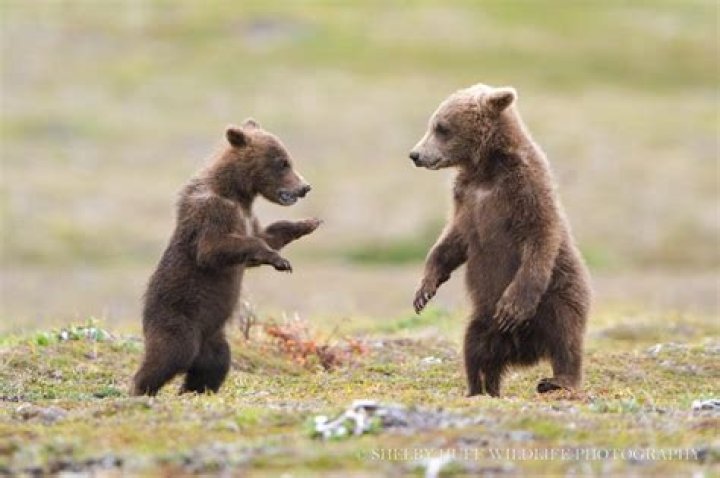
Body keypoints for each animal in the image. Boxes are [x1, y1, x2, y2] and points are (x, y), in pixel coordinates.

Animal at [131, 119, 321, 396]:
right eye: (282, 162)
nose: (305, 187)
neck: (237, 193)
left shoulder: (248, 218)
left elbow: (264, 238)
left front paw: (308, 224)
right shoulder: (213, 211)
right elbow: (213, 250)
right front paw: (281, 261)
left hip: (214, 338)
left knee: (215, 364)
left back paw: (196, 389)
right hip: (178, 319)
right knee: (170, 355)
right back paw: (141, 389)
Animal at [409, 83, 591, 397]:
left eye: (441, 127)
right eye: (433, 124)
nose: (416, 154)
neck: (485, 169)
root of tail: (524, 350)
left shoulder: (524, 189)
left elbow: (540, 234)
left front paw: (512, 307)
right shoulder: (466, 200)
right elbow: (451, 242)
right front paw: (424, 291)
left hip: (559, 294)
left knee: (565, 337)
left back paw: (556, 381)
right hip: (483, 320)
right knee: (475, 349)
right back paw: (479, 388)